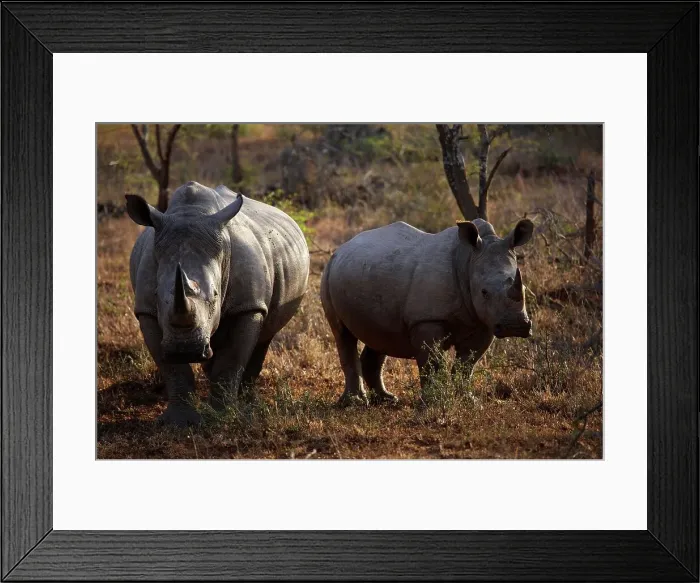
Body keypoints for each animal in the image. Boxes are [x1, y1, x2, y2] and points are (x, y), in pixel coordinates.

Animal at [127, 181, 310, 426]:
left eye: (215, 295)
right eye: (157, 295)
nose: (184, 349)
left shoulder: (248, 306)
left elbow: (231, 360)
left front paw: (222, 417)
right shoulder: (146, 310)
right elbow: (171, 368)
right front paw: (179, 422)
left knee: (264, 336)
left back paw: (249, 404)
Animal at [320, 217, 533, 404]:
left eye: (524, 288)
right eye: (484, 292)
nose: (515, 326)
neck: (468, 260)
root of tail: (340, 249)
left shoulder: (483, 322)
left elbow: (467, 364)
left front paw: (468, 401)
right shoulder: (427, 320)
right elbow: (432, 363)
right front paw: (433, 402)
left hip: (369, 272)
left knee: (378, 334)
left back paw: (386, 399)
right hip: (328, 273)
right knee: (342, 334)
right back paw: (354, 403)